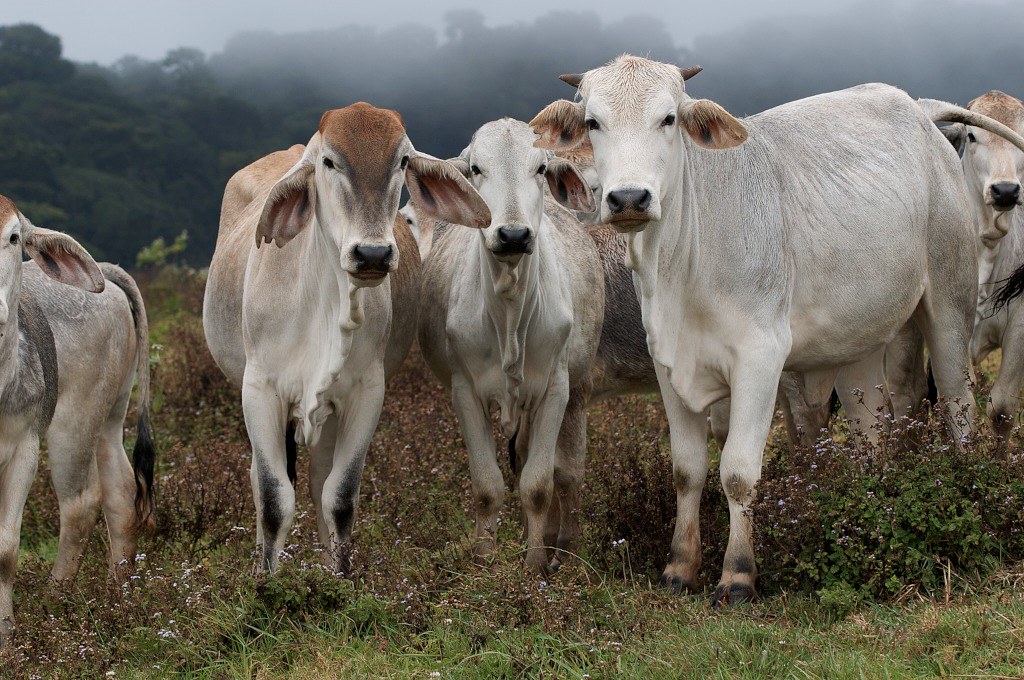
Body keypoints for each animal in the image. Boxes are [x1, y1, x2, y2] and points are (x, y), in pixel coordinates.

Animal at [0, 196, 154, 647]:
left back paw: (54, 602)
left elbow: (5, 551)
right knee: (122, 493)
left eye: (12, 238)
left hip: (74, 421)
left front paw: (6, 638)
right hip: (110, 416)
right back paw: (120, 595)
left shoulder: (24, 446)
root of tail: (105, 270)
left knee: (82, 504)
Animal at [202, 102, 489, 574]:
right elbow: (272, 497)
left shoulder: (366, 392)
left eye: (403, 161)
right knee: (261, 479)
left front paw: (339, 576)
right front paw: (264, 580)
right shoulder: (259, 390)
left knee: (319, 479)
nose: (372, 254)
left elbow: (339, 497)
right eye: (329, 162)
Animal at [530, 55, 985, 603]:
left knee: (959, 406)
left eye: (668, 118)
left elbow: (738, 473)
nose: (629, 198)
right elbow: (688, 470)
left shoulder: (760, 360)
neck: (685, 262)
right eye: (594, 122)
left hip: (949, 305)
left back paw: (968, 488)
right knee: (871, 429)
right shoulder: (669, 366)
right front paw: (680, 567)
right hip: (859, 346)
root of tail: (918, 111)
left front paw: (738, 575)